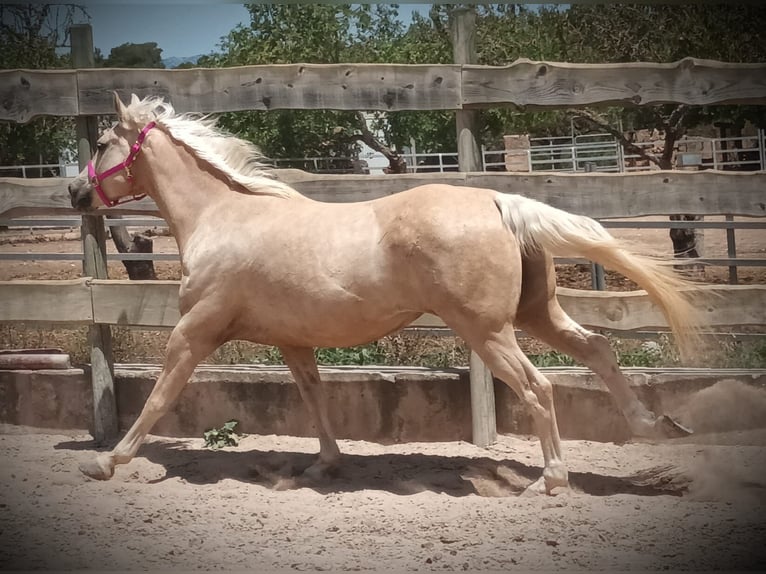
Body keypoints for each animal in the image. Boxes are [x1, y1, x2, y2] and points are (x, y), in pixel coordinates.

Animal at [68, 93, 703, 494]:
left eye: (99, 144)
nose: (76, 192)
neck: (220, 217)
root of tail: (500, 202)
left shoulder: (195, 330)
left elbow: (158, 395)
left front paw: (107, 461)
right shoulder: (294, 341)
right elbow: (314, 397)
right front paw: (324, 467)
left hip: (487, 330)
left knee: (539, 387)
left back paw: (551, 480)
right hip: (536, 314)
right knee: (598, 349)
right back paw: (655, 427)